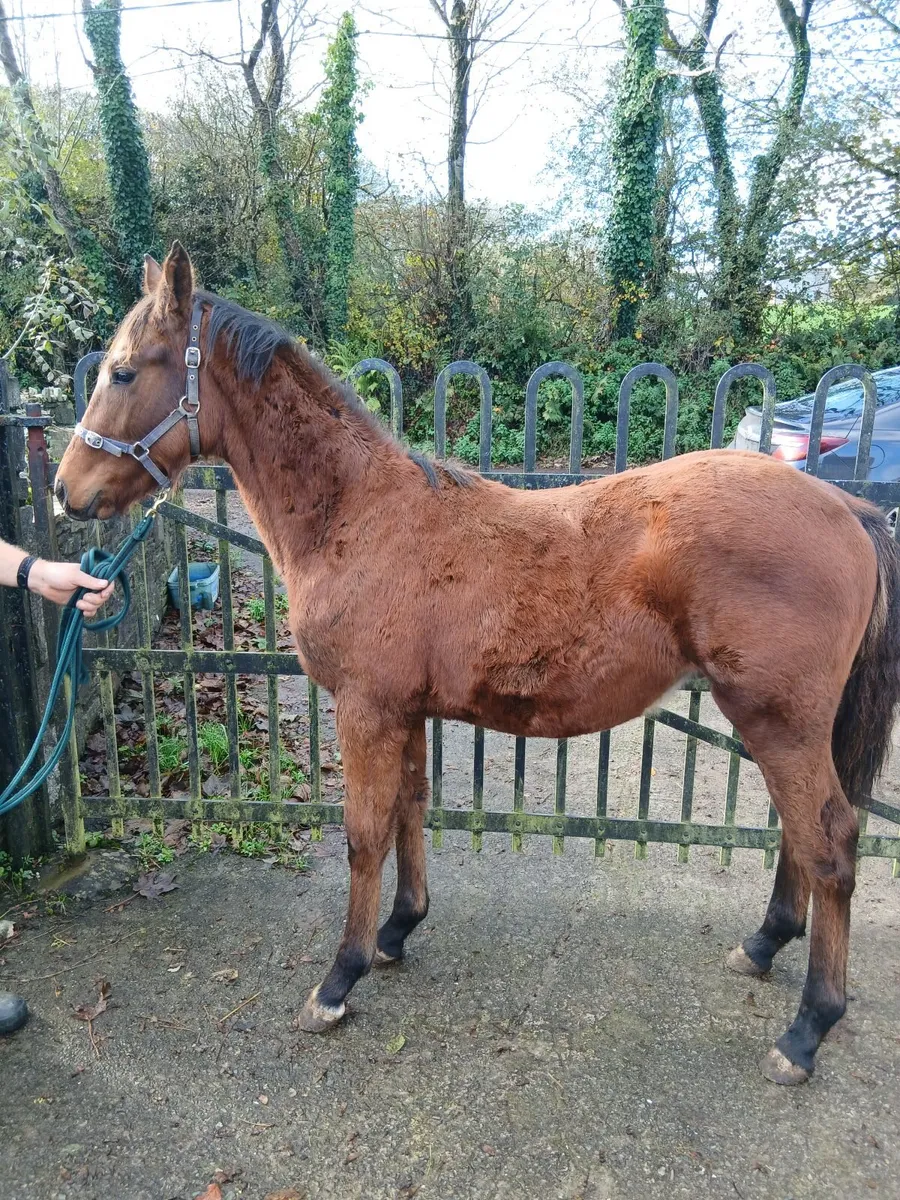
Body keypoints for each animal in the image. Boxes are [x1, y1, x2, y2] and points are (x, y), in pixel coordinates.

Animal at [56, 243, 900, 1086]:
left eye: (124, 372)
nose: (68, 493)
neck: (359, 515)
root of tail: (849, 509)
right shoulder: (403, 711)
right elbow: (410, 810)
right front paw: (398, 931)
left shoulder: (365, 710)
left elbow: (364, 834)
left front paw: (338, 981)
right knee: (800, 834)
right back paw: (764, 945)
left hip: (777, 721)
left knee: (830, 842)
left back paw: (808, 1028)